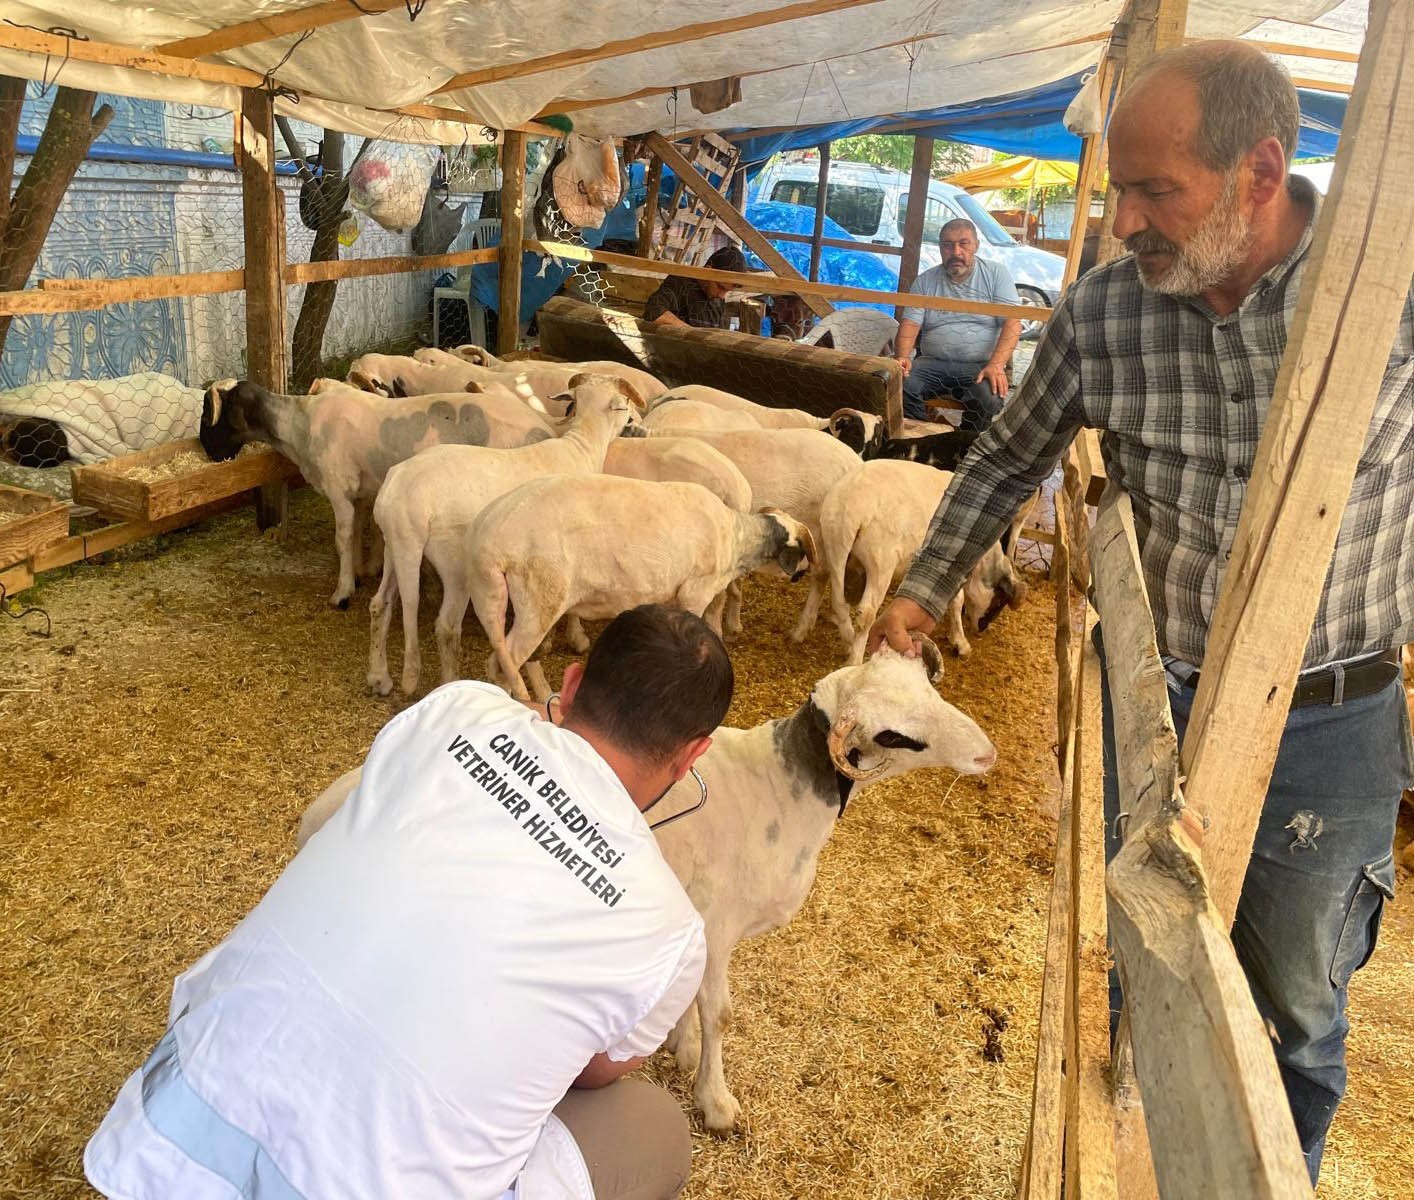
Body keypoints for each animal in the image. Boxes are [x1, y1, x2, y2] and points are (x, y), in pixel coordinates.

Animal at [202, 375, 554, 604]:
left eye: (210, 412)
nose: (208, 451)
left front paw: (342, 593)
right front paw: (359, 574)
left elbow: (342, 538)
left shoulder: (338, 488)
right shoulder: (357, 492)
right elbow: (358, 531)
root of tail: (545, 429)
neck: (298, 426)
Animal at [298, 641, 995, 1130]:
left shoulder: (699, 917)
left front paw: (683, 1048)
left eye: (930, 689)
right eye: (894, 735)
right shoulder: (715, 923)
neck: (784, 790)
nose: (986, 754)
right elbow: (719, 1011)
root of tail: (321, 814)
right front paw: (715, 1100)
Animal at [364, 373, 636, 692]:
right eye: (625, 403)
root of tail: (402, 497)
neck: (582, 448)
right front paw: (575, 637)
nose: (633, 423)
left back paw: (379, 677)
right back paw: (451, 681)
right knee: (447, 625)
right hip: (453, 561)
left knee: (380, 604)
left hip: (395, 544)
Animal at [466, 477, 814, 701]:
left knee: (510, 661)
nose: (803, 573)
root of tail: (487, 541)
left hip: (497, 597)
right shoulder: (695, 592)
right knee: (505, 663)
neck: (738, 540)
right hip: (540, 598)